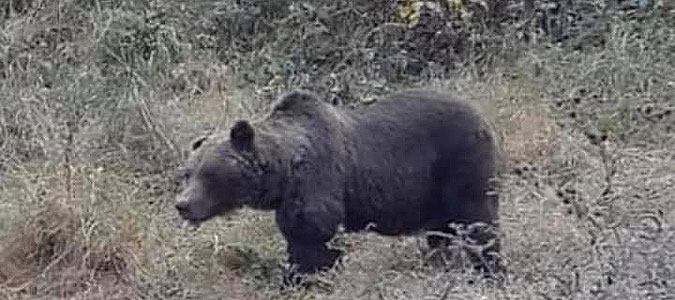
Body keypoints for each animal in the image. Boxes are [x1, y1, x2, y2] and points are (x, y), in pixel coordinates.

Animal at [174, 88, 502, 284]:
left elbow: (314, 237)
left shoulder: (317, 182)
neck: (284, 173)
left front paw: (306, 279)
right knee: (441, 233)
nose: (182, 205)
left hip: (461, 162)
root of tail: (481, 115)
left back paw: (490, 271)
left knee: (479, 221)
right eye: (188, 173)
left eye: (210, 174)